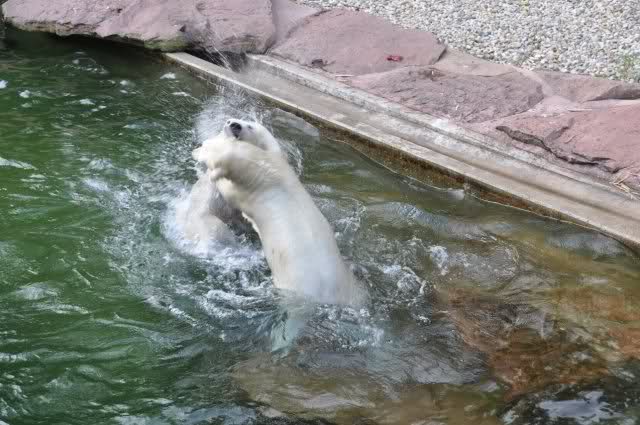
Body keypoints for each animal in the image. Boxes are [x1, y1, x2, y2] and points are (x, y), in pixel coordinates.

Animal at [202, 118, 366, 306]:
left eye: (250, 126)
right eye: (230, 120)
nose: (234, 125)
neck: (273, 169)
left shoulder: (252, 189)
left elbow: (231, 192)